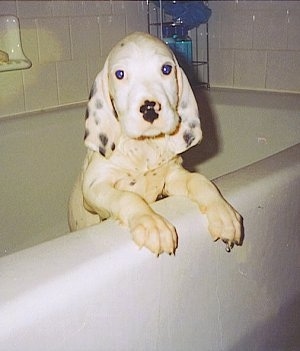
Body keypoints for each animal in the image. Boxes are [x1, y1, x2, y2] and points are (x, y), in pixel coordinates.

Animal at [69, 31, 243, 256]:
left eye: (166, 69)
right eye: (120, 74)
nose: (149, 109)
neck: (144, 148)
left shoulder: (171, 177)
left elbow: (199, 180)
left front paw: (223, 212)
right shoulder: (95, 187)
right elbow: (127, 197)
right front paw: (150, 222)